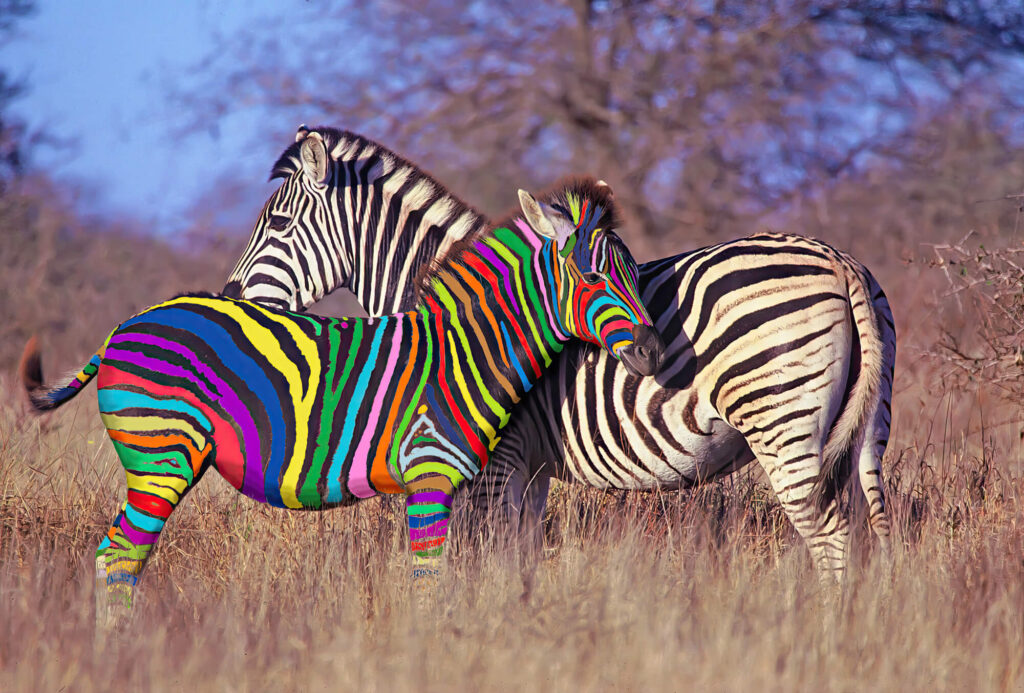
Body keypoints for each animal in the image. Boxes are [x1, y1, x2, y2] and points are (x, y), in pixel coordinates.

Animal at [19, 178, 664, 623]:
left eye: (634, 275)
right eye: (592, 278)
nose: (654, 354)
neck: (465, 350)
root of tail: (122, 327)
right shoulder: (431, 472)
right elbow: (431, 582)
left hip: (167, 458)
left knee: (112, 555)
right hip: (162, 454)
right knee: (121, 559)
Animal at [225, 125, 895, 580]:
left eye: (278, 225)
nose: (229, 296)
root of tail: (840, 260)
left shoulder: (494, 464)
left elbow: (486, 559)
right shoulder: (532, 467)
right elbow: (520, 559)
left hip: (781, 420)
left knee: (830, 537)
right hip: (863, 431)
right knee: (872, 527)